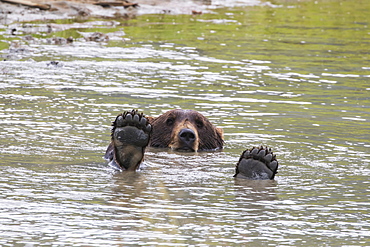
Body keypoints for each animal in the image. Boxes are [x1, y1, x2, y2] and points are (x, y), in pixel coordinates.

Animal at [104, 110, 278, 179]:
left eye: (200, 123)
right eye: (169, 120)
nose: (187, 134)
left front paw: (260, 157)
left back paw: (257, 162)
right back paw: (131, 130)